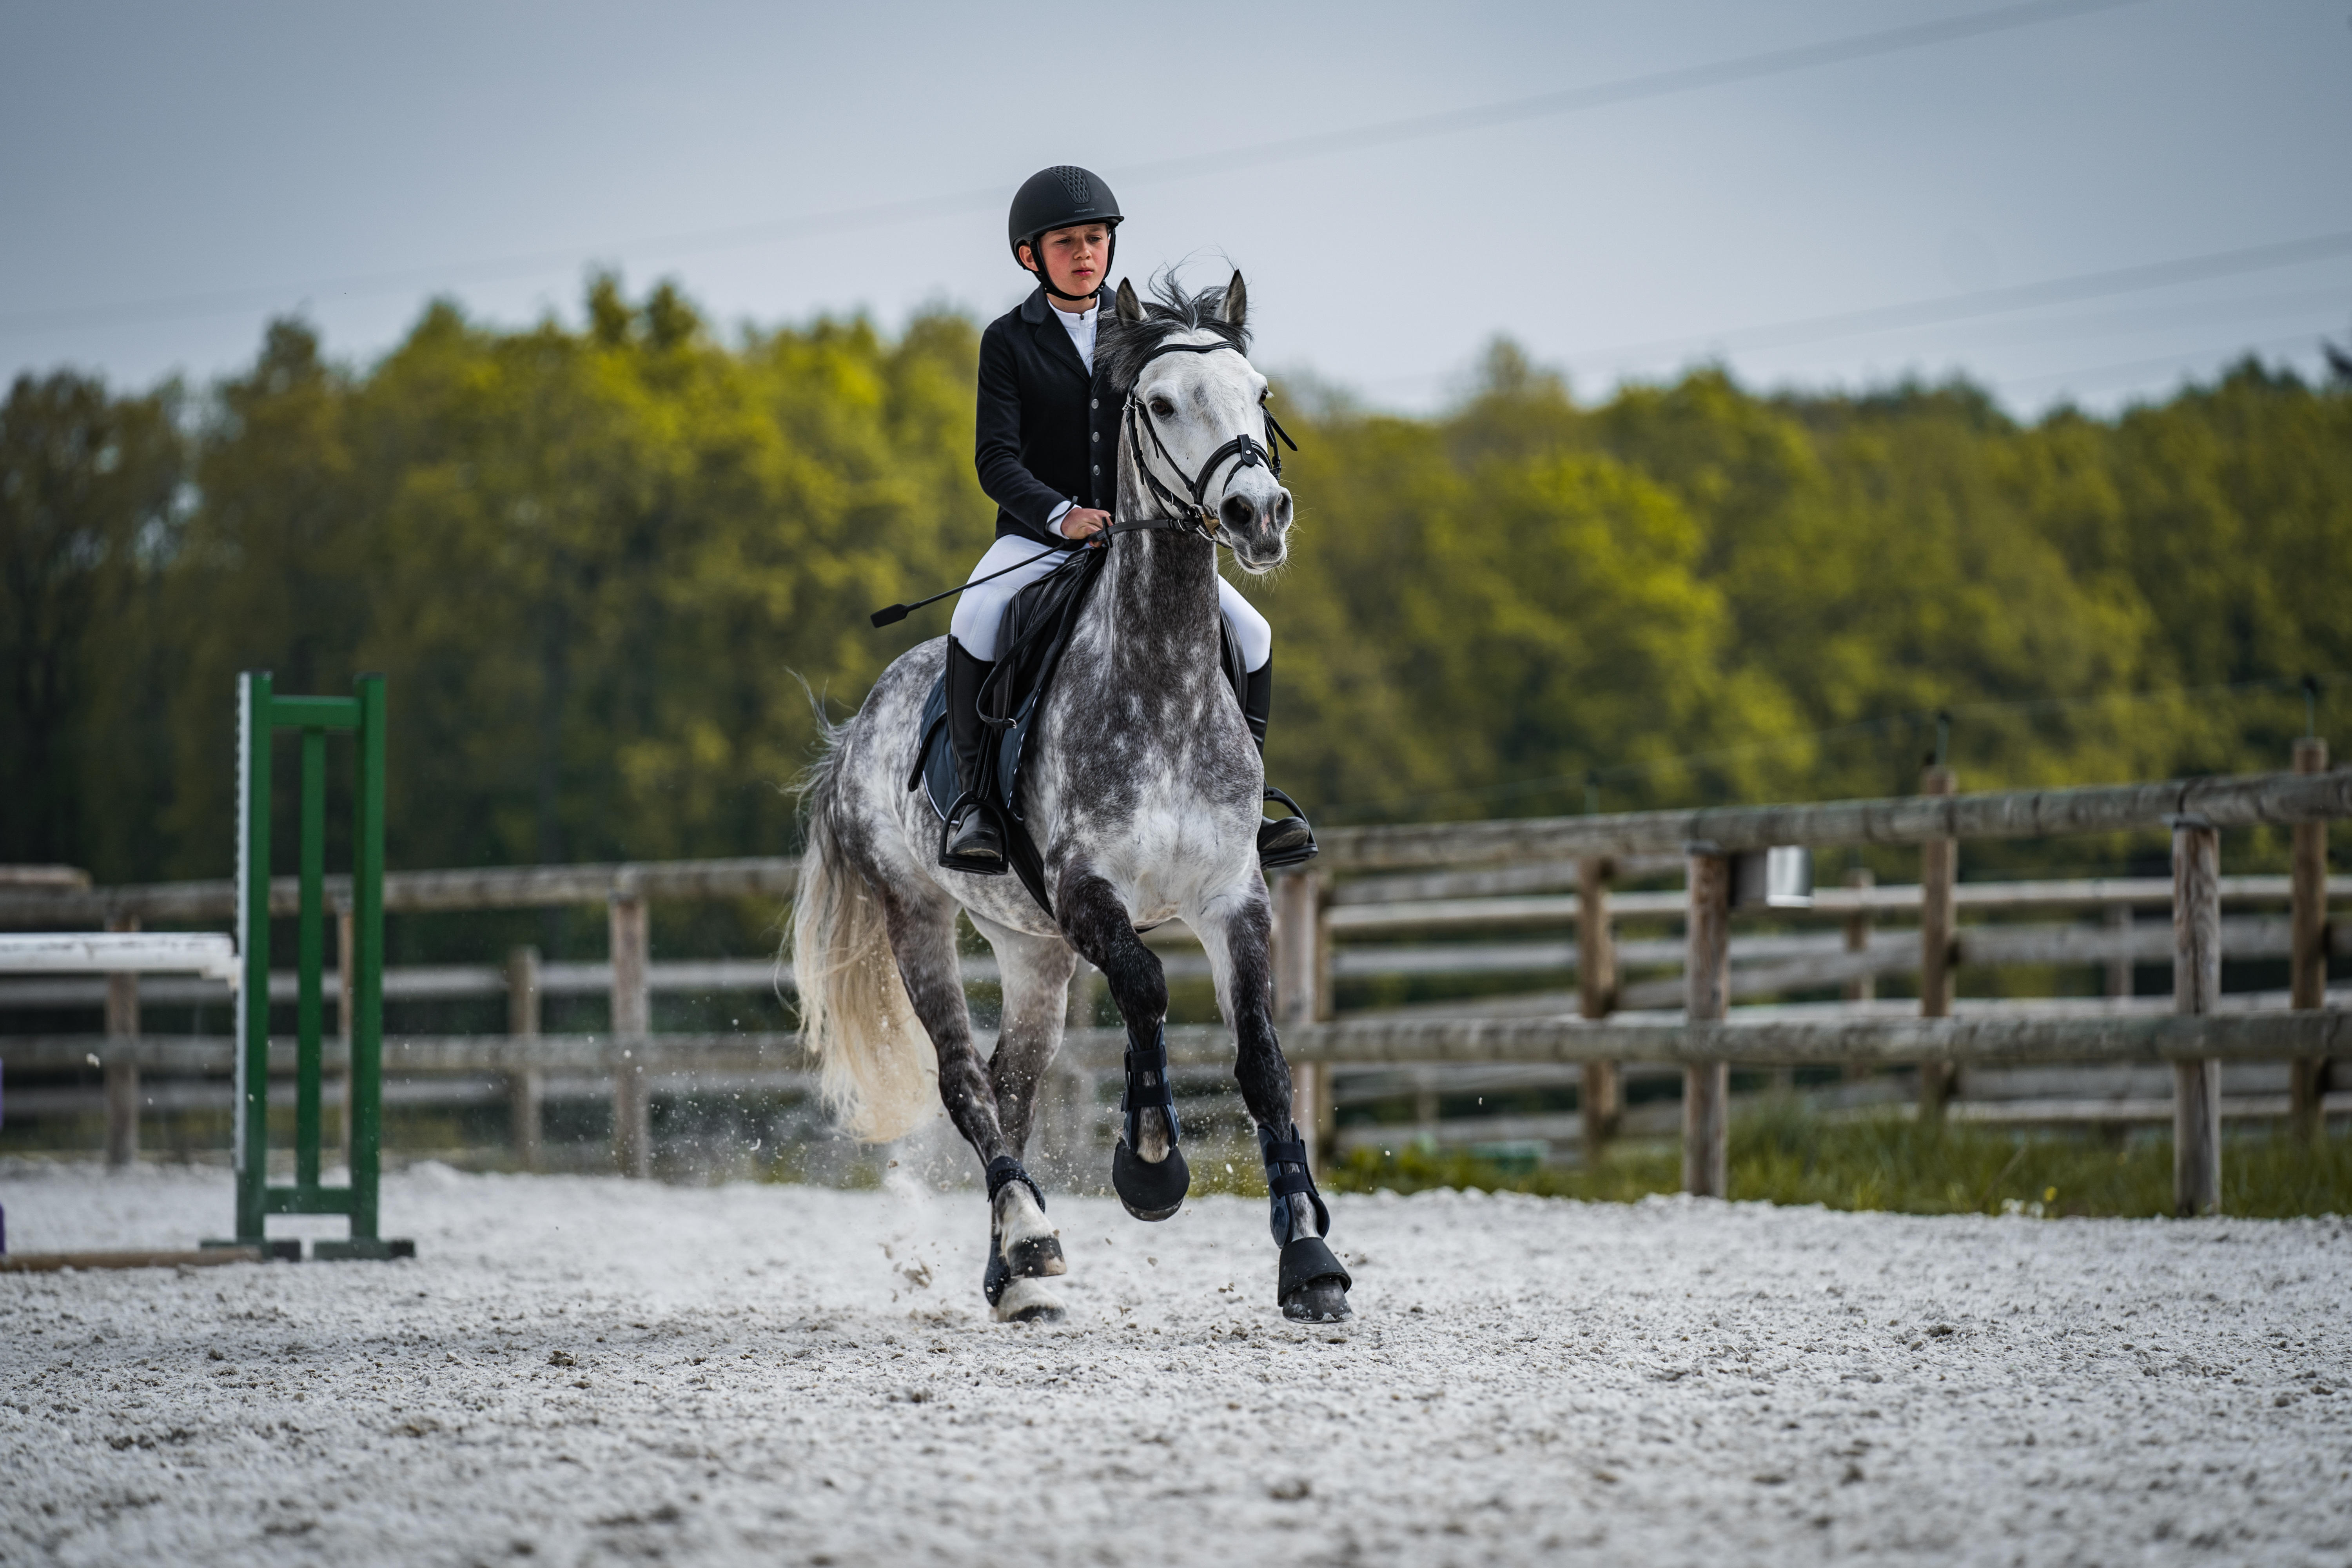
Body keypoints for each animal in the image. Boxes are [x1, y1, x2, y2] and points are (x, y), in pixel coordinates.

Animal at [790, 272, 1355, 1326]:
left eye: (1259, 393)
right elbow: (1146, 987)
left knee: (1012, 1081)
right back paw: (1029, 1238)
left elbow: (1261, 1058)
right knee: (966, 1080)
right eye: (1160, 403)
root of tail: (864, 720)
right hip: (919, 913)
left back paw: (1011, 1266)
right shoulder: (1090, 889)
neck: (1161, 676)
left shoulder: (1233, 896)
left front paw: (1309, 1258)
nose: (1259, 512)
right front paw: (1150, 1166)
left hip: (1033, 946)